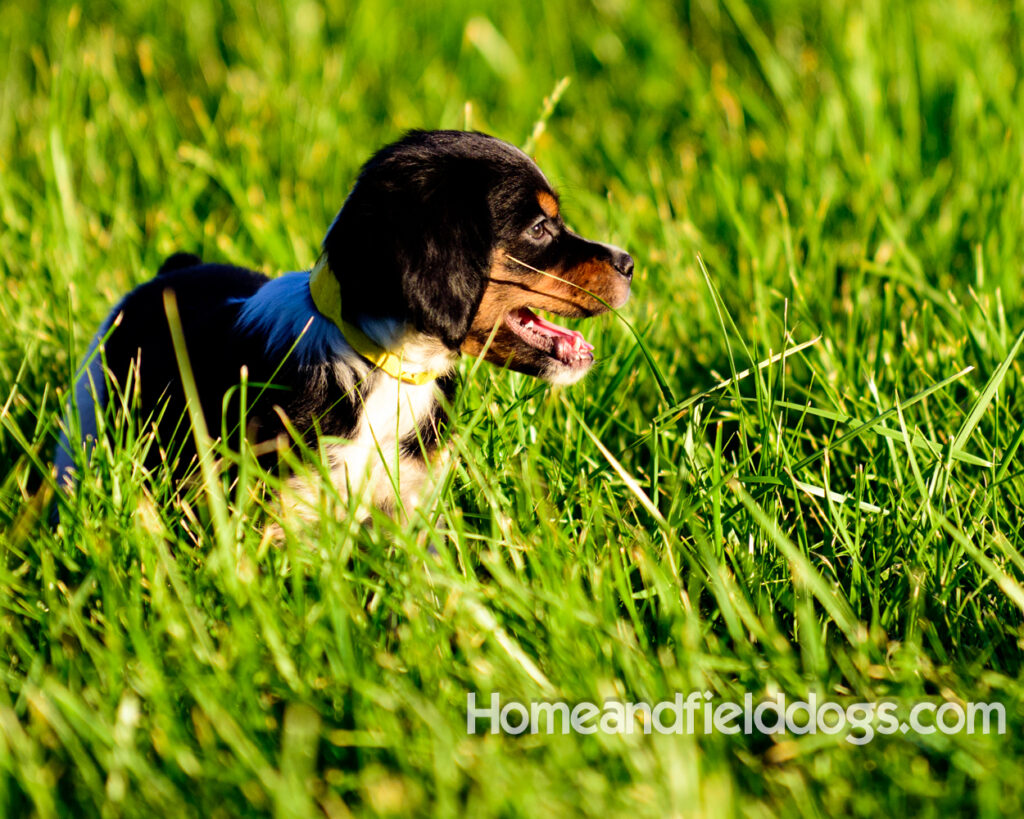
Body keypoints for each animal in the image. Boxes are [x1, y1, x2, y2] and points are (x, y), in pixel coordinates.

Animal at [56, 131, 634, 522]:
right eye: (538, 229)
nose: (629, 262)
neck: (391, 369)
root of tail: (171, 271)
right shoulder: (292, 505)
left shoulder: (410, 501)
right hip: (86, 424)